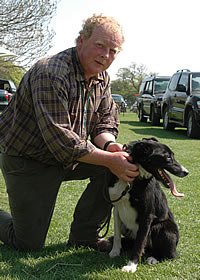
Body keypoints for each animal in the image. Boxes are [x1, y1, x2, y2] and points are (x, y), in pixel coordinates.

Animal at [108, 138, 188, 274]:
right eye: (168, 157)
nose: (186, 172)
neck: (134, 180)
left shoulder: (147, 215)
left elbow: (139, 243)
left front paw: (131, 265)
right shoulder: (116, 207)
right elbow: (117, 234)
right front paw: (115, 251)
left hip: (160, 227)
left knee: (171, 255)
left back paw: (153, 258)